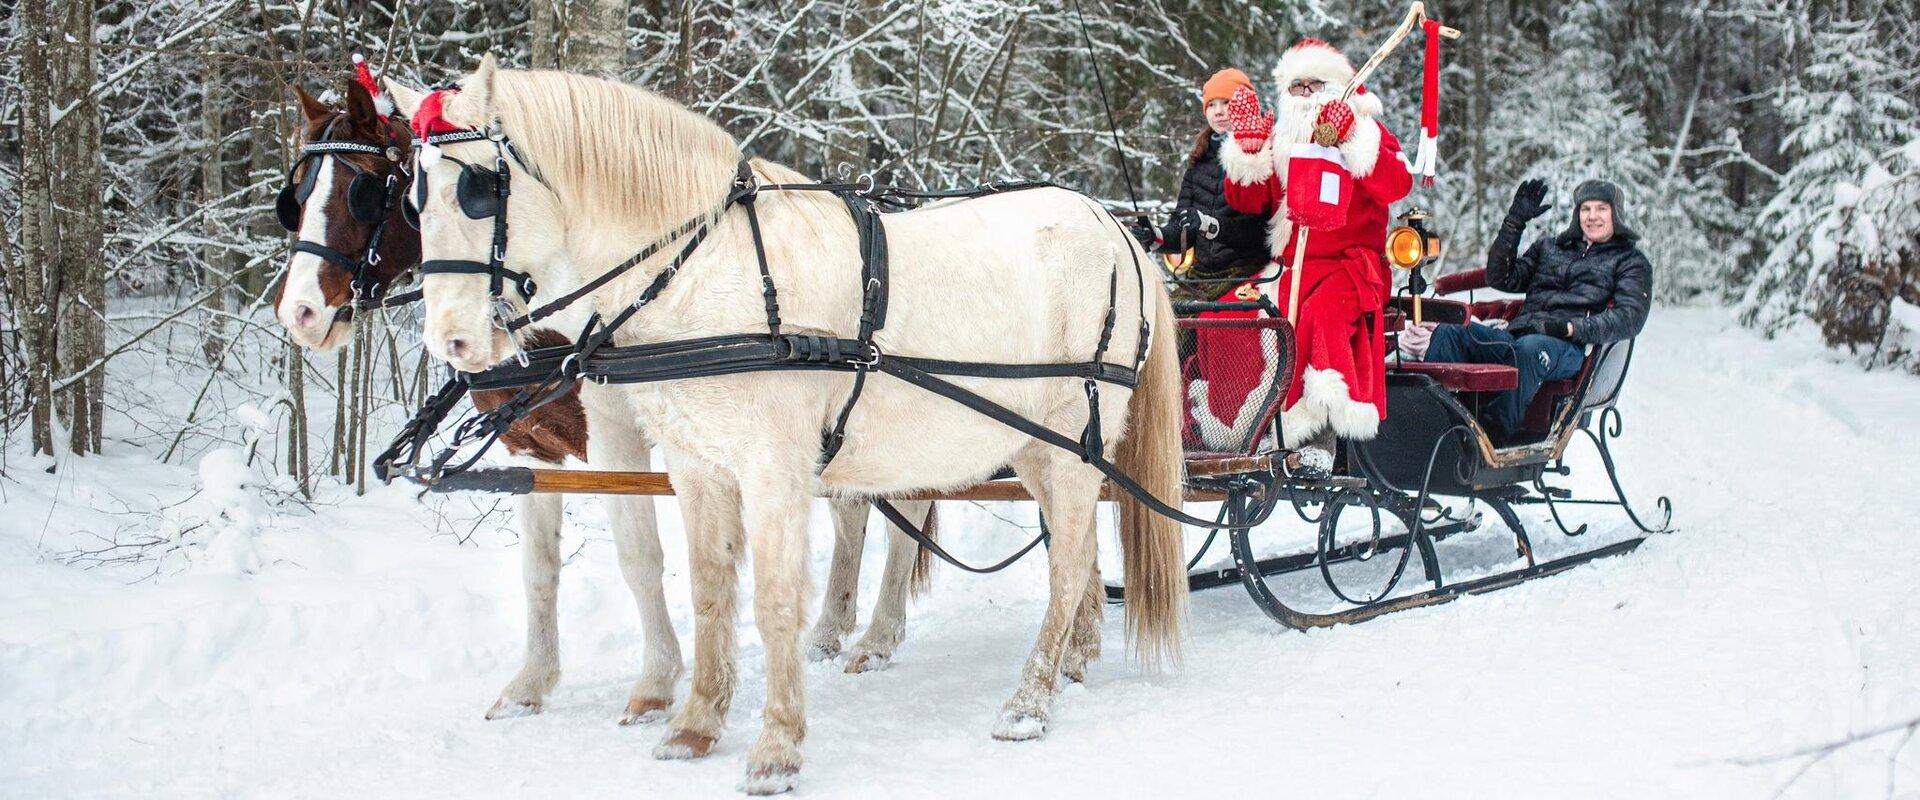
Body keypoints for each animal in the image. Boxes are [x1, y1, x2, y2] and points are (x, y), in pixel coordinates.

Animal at [272, 74, 944, 721]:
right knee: (856, 511)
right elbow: (539, 570)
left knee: (906, 516)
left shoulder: (619, 435)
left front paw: (657, 683)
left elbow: (639, 554)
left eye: (365, 190)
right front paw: (531, 683)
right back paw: (832, 630)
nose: (298, 312)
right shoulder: (530, 451)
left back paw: (877, 638)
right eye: (296, 196)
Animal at [393, 57, 1182, 790]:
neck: (707, 273)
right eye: (413, 198)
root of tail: (1116, 231)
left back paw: (1029, 700)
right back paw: (1073, 658)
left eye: (479, 190)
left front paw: (776, 747)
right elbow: (709, 589)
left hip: (1075, 440)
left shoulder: (772, 468)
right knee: (1075, 552)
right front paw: (695, 724)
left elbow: (775, 601)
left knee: (1069, 557)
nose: (451, 340)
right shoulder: (697, 467)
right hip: (1036, 447)